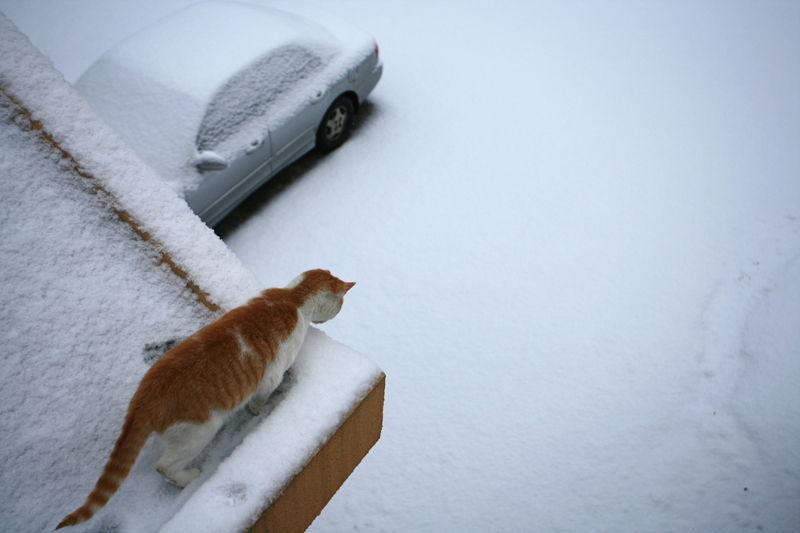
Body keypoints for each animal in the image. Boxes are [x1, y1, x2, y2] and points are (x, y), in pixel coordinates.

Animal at [54, 268, 354, 524]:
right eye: (340, 305)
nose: (337, 314)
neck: (293, 298)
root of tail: (144, 398)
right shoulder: (271, 376)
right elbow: (259, 401)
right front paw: (258, 412)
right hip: (198, 433)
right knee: (164, 466)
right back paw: (189, 478)